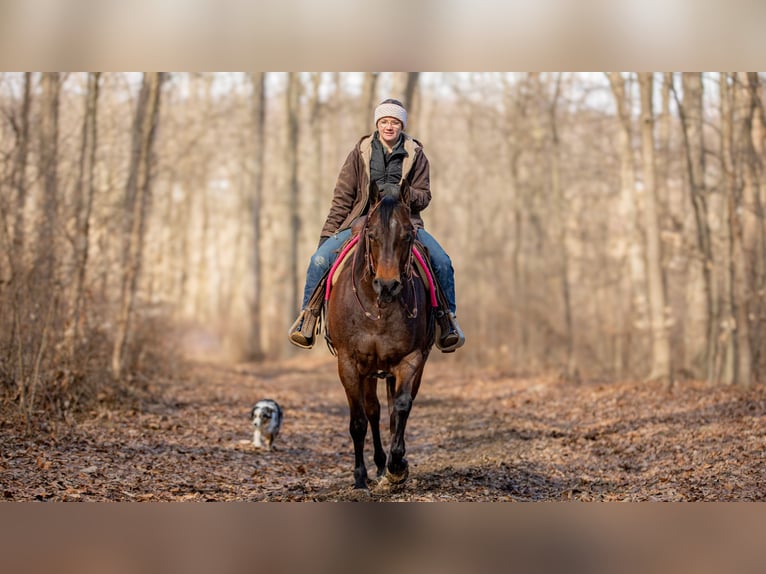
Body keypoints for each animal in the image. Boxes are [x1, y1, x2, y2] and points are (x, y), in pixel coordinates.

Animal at [328, 186, 436, 496]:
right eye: (372, 234)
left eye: (408, 234)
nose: (387, 285)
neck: (378, 308)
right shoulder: (349, 364)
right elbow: (358, 421)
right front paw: (359, 478)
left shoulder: (411, 359)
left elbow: (401, 406)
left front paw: (397, 467)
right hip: (368, 371)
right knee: (373, 411)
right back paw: (376, 466)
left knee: (391, 410)